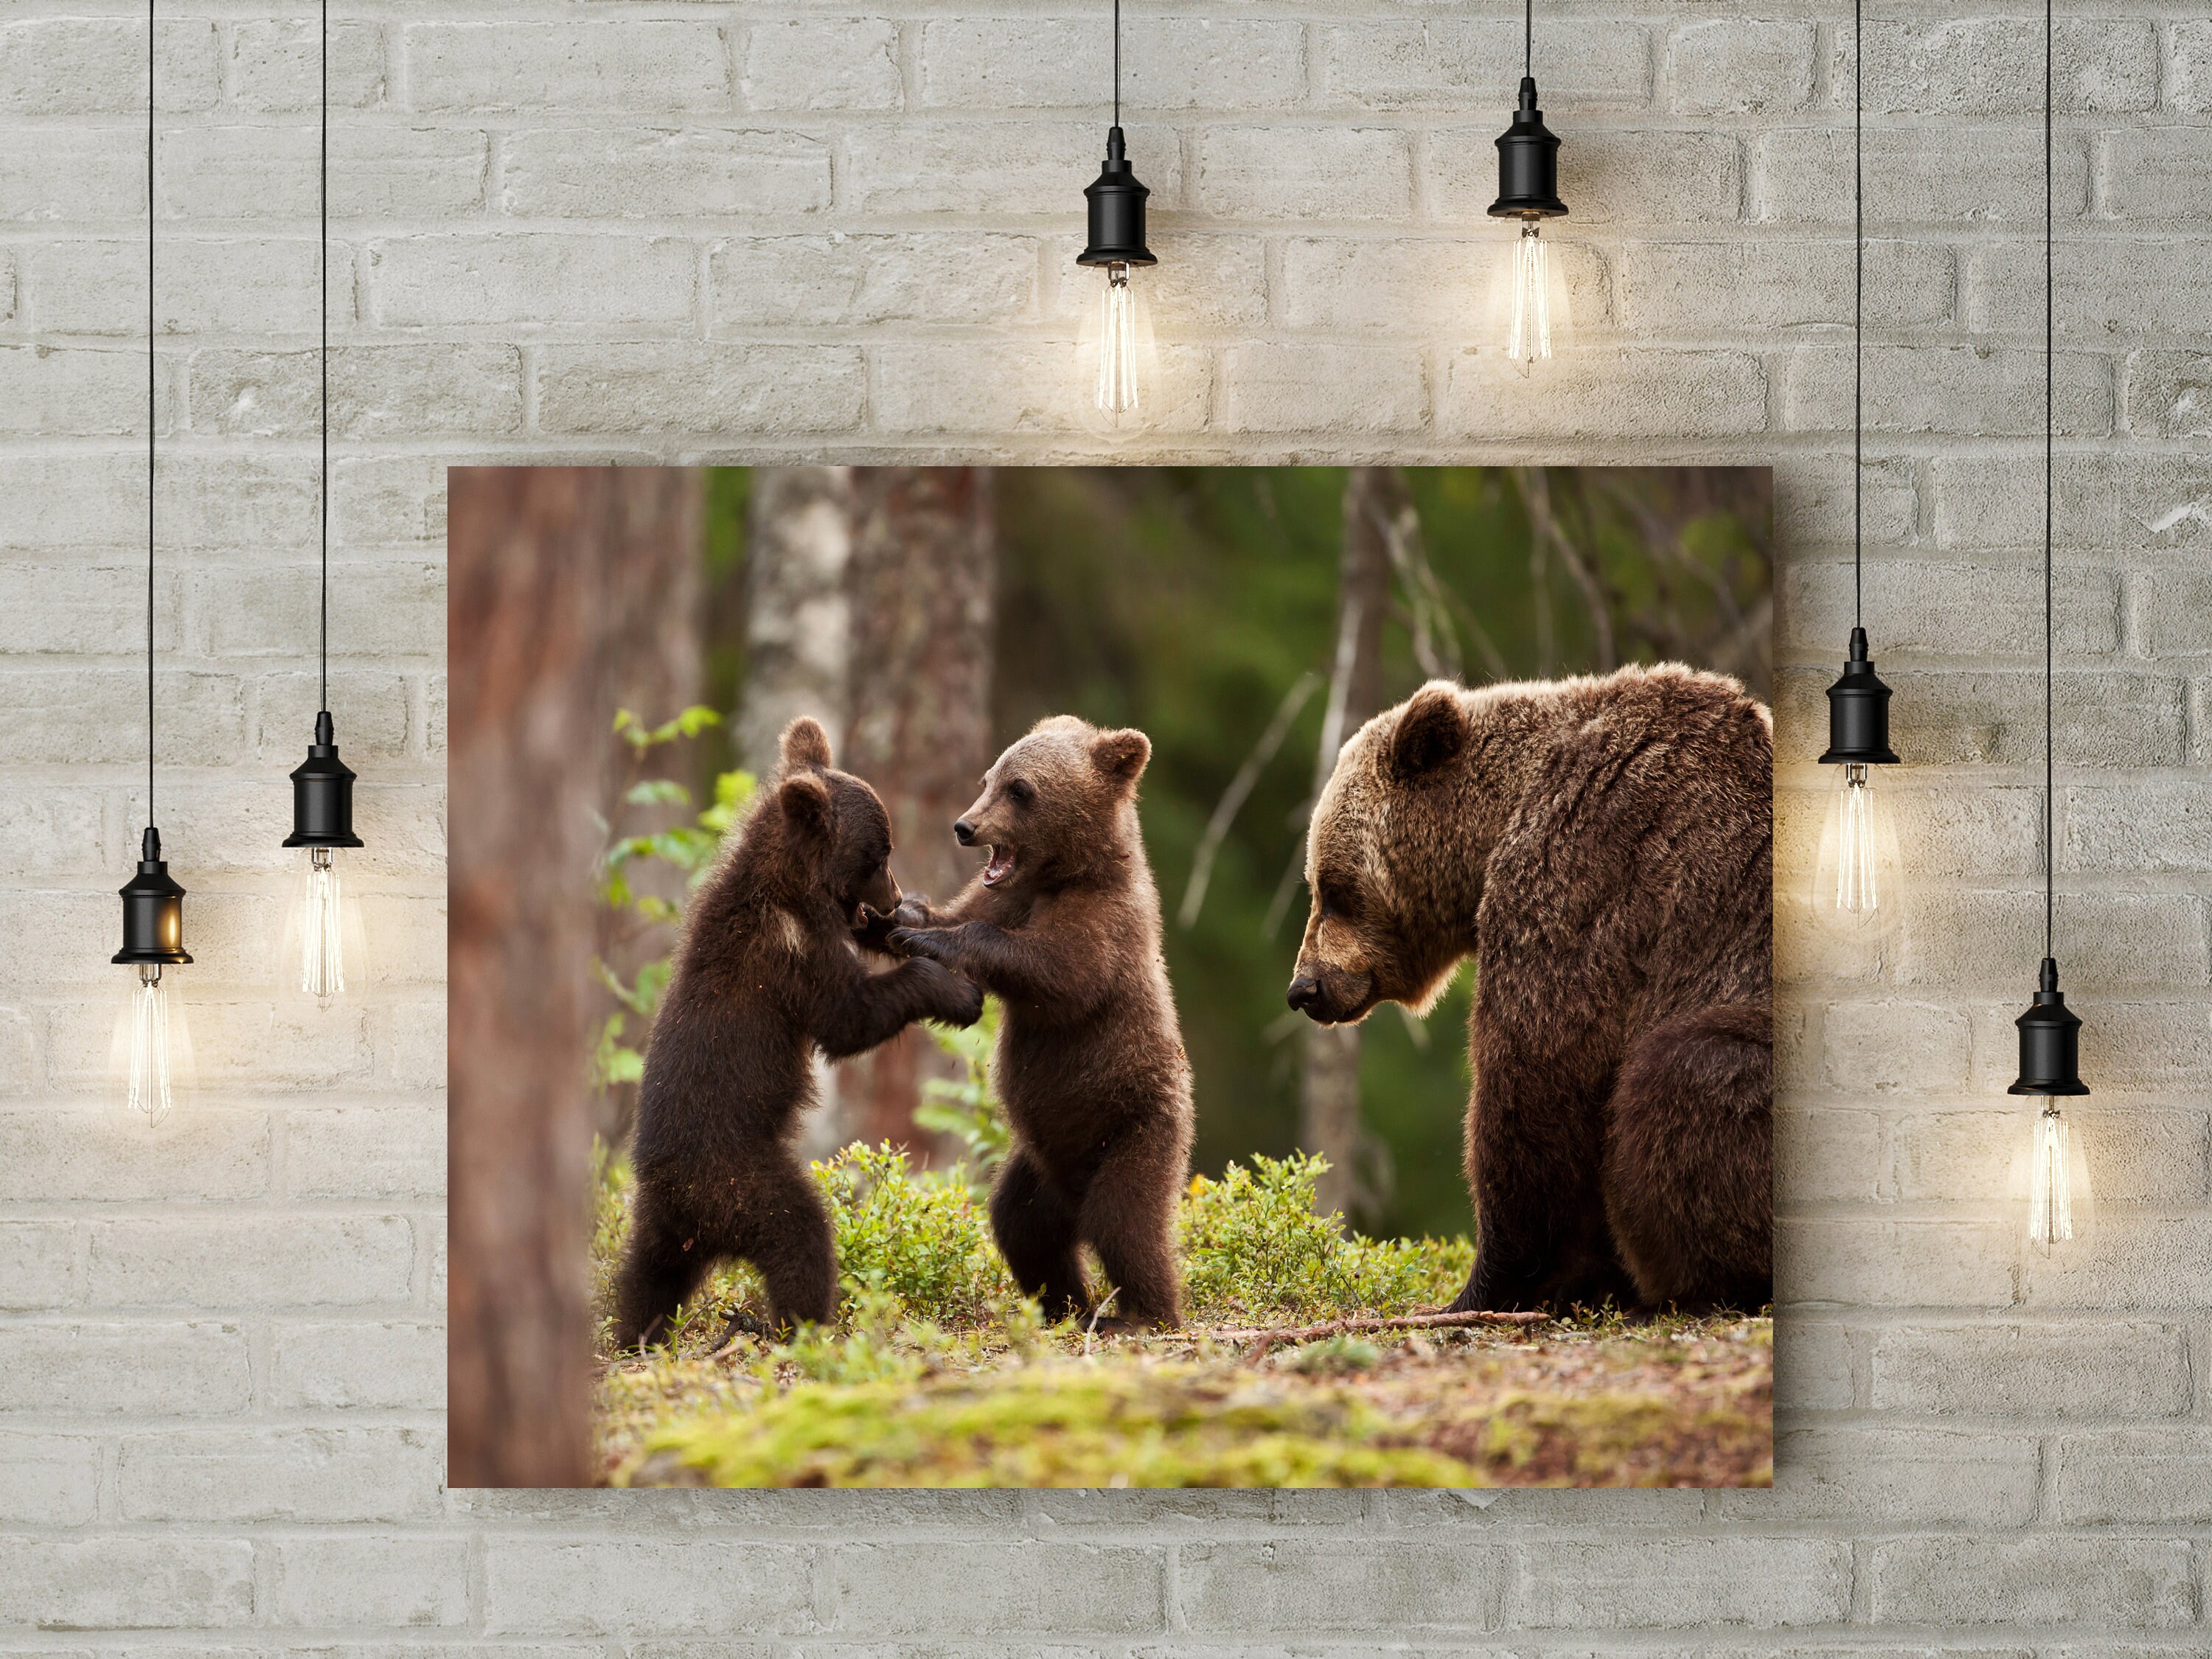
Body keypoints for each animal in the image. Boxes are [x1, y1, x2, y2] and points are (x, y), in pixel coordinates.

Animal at [611, 716, 985, 1349]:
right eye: (879, 852)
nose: (891, 894)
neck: (792, 889)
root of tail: (685, 1204)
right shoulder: (789, 955)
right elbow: (848, 1017)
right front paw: (957, 993)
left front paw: (913, 925)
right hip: (741, 1179)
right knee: (800, 1234)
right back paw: (804, 1323)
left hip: (664, 1222)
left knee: (647, 1274)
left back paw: (635, 1333)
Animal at [880, 715, 1194, 1330]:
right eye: (988, 778)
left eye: (1021, 789)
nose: (965, 826)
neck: (1064, 875)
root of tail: (1072, 1193)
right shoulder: (1006, 895)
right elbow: (960, 912)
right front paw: (904, 915)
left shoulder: (1105, 926)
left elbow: (1057, 974)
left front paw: (935, 940)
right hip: (1039, 1166)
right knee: (1021, 1225)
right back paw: (1066, 1305)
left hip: (1136, 1129)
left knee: (1125, 1222)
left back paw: (1143, 1313)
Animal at [1286, 665, 1772, 1316]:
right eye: (1318, 882)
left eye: (1335, 887)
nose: (1305, 987)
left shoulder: (1586, 872)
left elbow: (1537, 1079)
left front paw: (1487, 1286)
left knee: (1684, 1070)